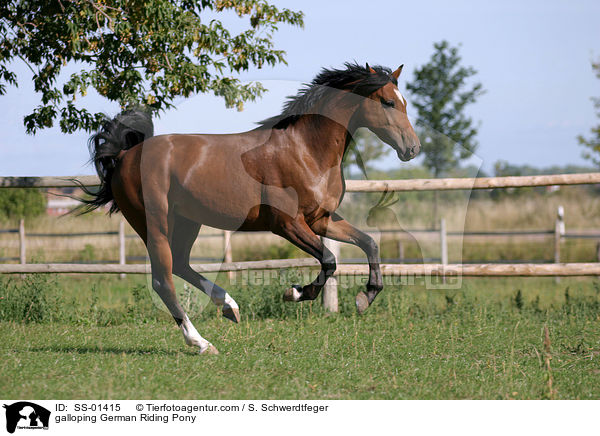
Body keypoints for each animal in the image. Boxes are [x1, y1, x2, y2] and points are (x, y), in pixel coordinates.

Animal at [83, 62, 422, 354]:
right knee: (162, 280)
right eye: (388, 103)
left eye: (404, 102)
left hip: (188, 223)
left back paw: (229, 307)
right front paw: (295, 292)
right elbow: (328, 260)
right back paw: (201, 343)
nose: (412, 148)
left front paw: (366, 297)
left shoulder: (321, 219)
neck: (305, 150)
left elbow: (369, 243)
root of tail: (124, 156)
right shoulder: (287, 224)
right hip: (154, 224)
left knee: (180, 265)